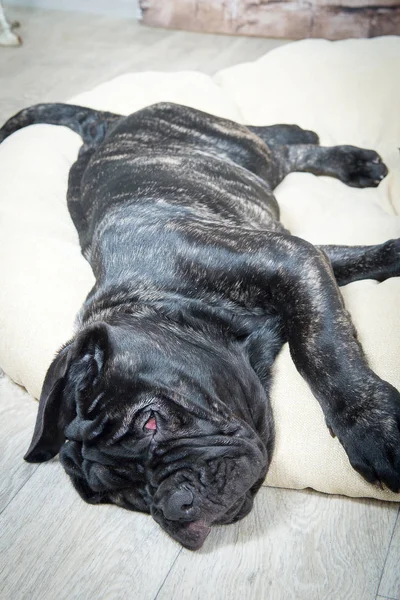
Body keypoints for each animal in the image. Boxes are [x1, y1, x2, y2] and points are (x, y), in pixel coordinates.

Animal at [0, 102, 400, 548]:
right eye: (123, 495)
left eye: (150, 421)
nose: (176, 505)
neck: (171, 300)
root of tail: (104, 126)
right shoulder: (305, 256)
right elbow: (356, 261)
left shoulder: (290, 259)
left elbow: (320, 346)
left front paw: (371, 427)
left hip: (240, 150)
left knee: (280, 149)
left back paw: (332, 150)